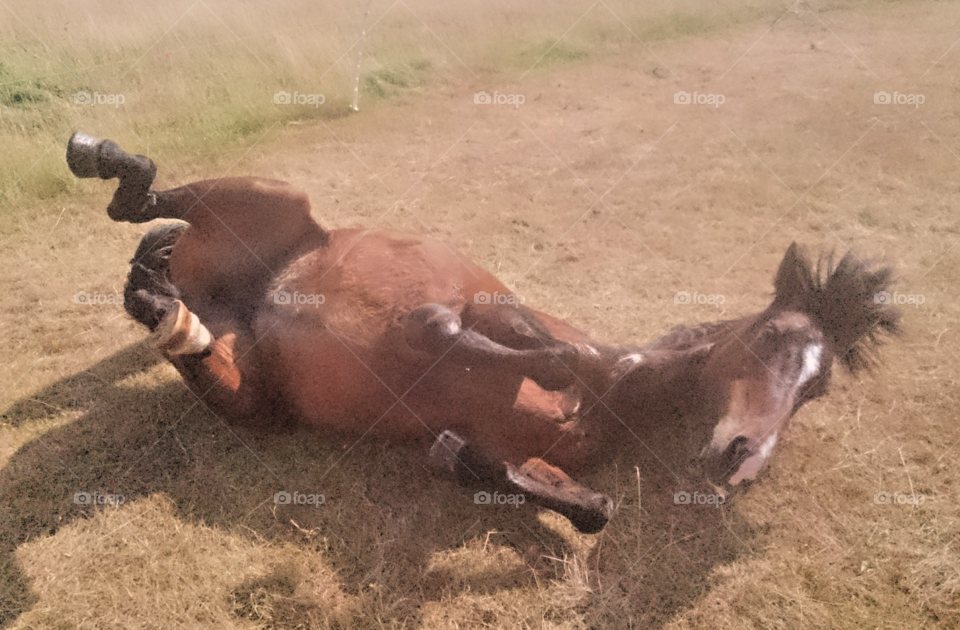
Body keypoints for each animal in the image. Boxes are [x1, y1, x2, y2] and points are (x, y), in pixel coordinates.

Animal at [65, 132, 900, 532]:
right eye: (772, 338)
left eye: (817, 388)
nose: (742, 457)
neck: (618, 395)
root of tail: (233, 291)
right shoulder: (495, 309)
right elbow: (523, 343)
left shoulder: (532, 453)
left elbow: (588, 509)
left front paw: (455, 457)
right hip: (275, 194)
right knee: (138, 200)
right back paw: (105, 160)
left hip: (254, 395)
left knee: (172, 313)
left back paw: (157, 295)